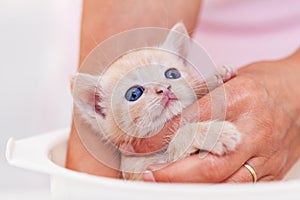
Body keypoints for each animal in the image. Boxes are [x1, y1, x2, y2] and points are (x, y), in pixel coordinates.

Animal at [71, 23, 241, 180]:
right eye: (134, 94)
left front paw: (217, 77)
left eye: (172, 74)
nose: (164, 89)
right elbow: (178, 141)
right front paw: (215, 134)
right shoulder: (141, 172)